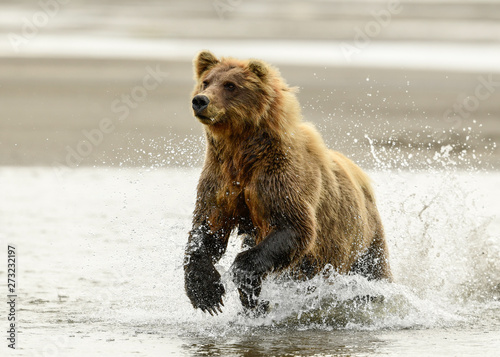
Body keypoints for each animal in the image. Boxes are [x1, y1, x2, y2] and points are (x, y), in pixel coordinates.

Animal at [183, 50, 390, 314]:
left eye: (230, 85)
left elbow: (294, 226)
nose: (200, 101)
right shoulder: (221, 178)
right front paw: (206, 293)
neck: (243, 152)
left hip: (363, 241)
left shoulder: (280, 177)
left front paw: (242, 275)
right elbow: (208, 228)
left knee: (372, 273)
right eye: (206, 81)